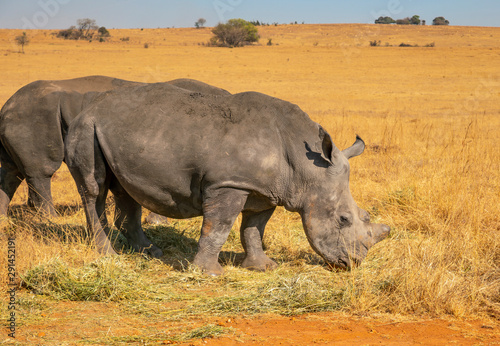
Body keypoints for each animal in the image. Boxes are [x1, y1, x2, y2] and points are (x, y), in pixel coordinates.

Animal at [63, 82, 390, 274]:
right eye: (343, 219)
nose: (353, 263)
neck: (305, 166)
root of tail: (87, 108)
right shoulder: (229, 183)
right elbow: (218, 228)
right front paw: (208, 273)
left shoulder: (264, 190)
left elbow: (253, 230)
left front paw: (264, 267)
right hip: (86, 128)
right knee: (94, 189)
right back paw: (108, 255)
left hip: (118, 131)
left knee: (126, 190)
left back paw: (149, 251)